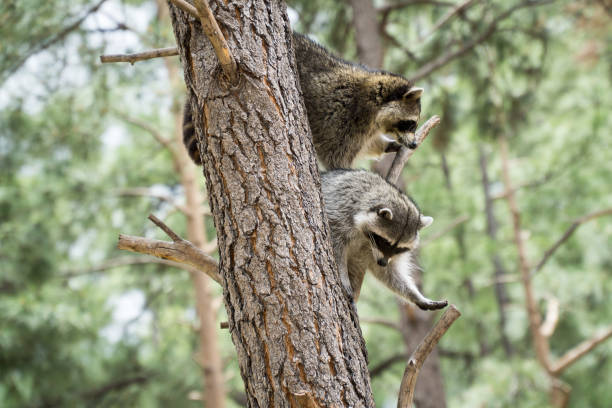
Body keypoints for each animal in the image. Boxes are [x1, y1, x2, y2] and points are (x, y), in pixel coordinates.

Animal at [180, 31, 426, 169]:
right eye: (410, 124)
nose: (414, 144)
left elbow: (369, 145)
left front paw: (386, 144)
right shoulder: (344, 119)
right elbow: (336, 159)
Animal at [322, 168, 448, 310]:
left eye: (399, 249)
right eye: (384, 241)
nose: (383, 262)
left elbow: (387, 272)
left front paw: (415, 295)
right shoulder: (339, 211)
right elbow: (336, 248)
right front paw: (342, 276)